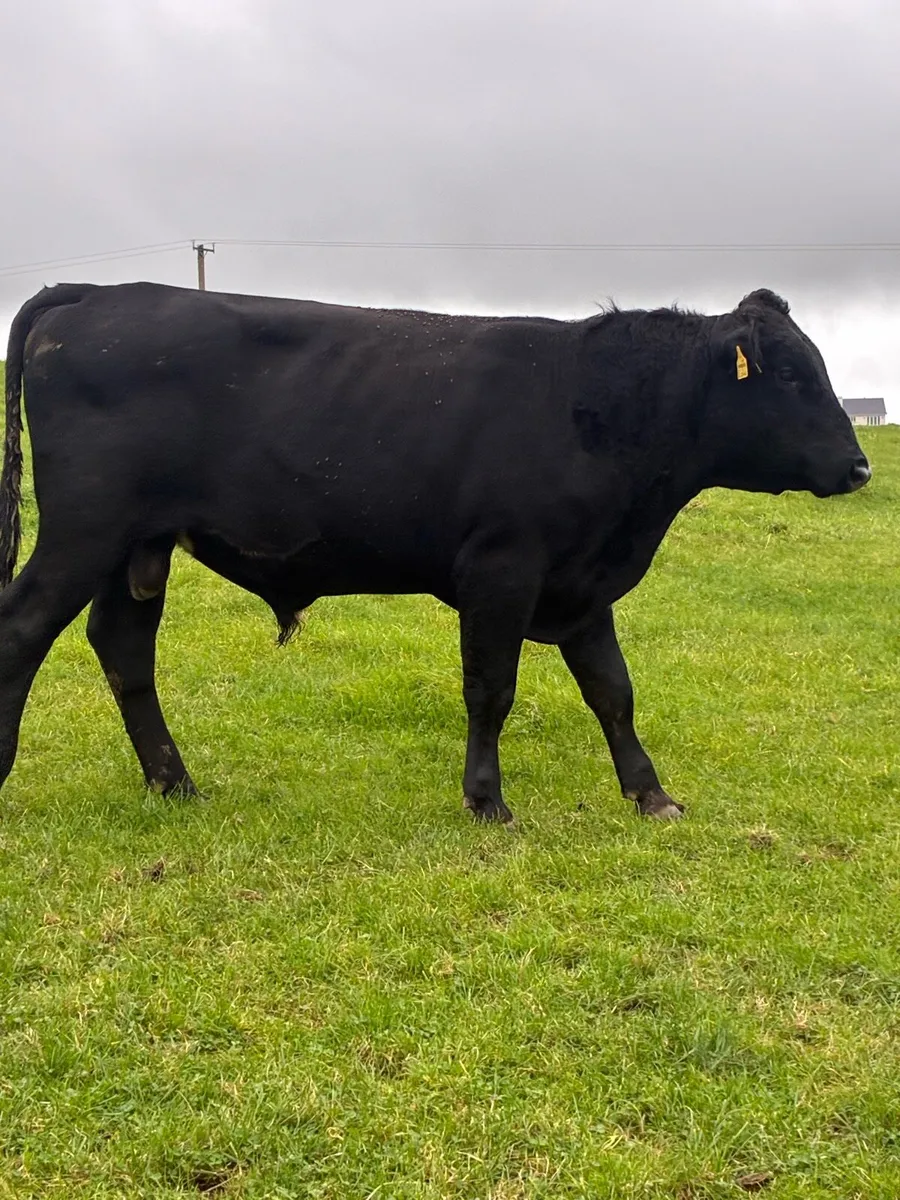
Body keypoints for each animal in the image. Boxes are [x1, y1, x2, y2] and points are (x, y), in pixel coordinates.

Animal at [0, 282, 870, 825]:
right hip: (84, 531)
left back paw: (174, 782)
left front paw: (651, 795)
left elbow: (614, 693)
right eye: (791, 376)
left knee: (122, 648)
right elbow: (492, 689)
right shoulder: (501, 570)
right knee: (24, 629)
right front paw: (487, 800)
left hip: (136, 548)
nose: (861, 466)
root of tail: (97, 293)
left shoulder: (584, 585)